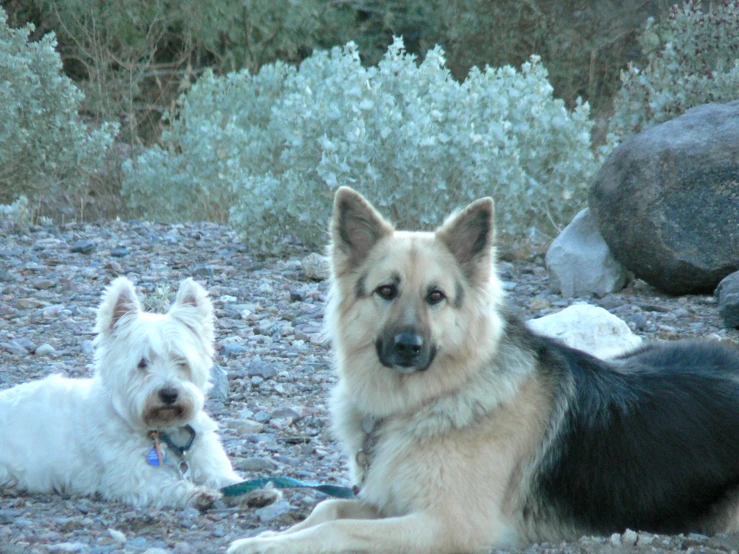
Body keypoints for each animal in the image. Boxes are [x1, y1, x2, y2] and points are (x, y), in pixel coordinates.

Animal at [0, 276, 246, 508]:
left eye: (181, 360)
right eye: (142, 362)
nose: (169, 394)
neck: (161, 430)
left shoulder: (207, 459)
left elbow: (227, 479)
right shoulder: (131, 475)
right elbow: (167, 484)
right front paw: (198, 493)